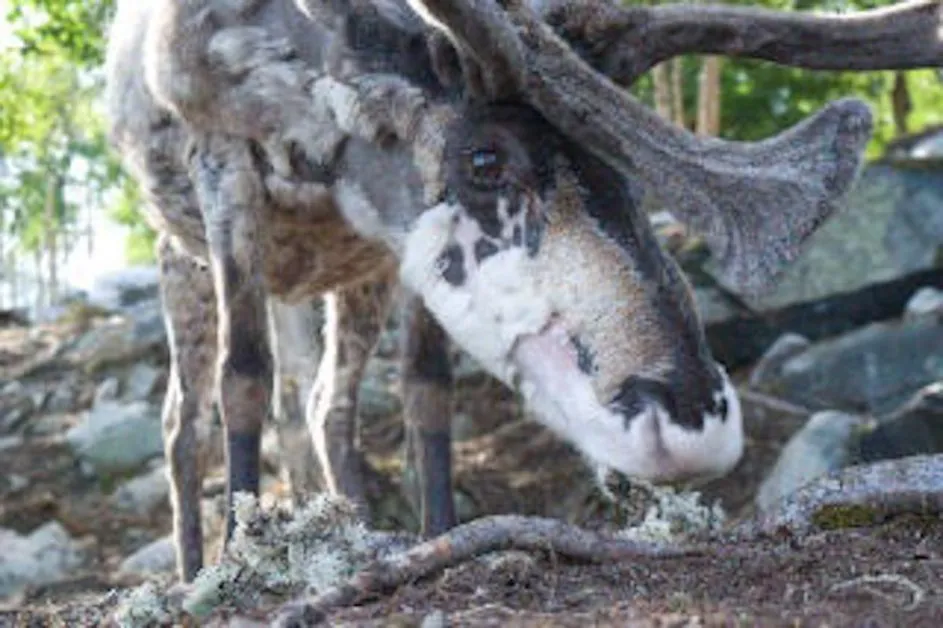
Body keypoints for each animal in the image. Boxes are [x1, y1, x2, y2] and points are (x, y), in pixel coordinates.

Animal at [103, 0, 942, 585]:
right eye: (483, 158)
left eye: (628, 174)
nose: (690, 417)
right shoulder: (224, 168)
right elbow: (242, 378)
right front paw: (235, 560)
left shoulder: (399, 255)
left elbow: (426, 389)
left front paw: (437, 536)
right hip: (179, 265)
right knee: (185, 419)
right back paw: (192, 562)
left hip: (354, 282)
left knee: (324, 403)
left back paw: (352, 523)